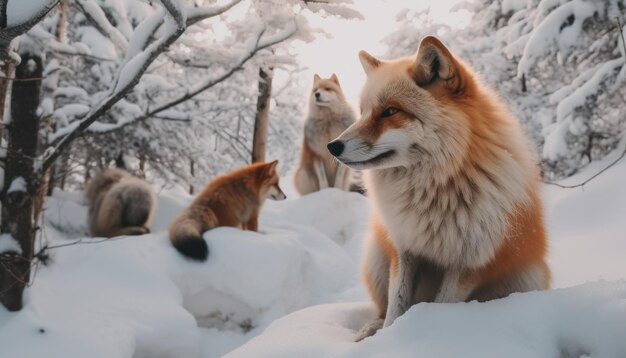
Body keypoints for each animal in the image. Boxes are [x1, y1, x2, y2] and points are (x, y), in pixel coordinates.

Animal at [326, 36, 552, 342]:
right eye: (363, 113)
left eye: (390, 111)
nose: (332, 146)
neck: (437, 189)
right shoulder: (404, 249)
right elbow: (395, 309)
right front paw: (388, 339)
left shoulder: (469, 262)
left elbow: (443, 304)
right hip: (376, 255)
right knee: (381, 309)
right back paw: (369, 329)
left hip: (527, 277)